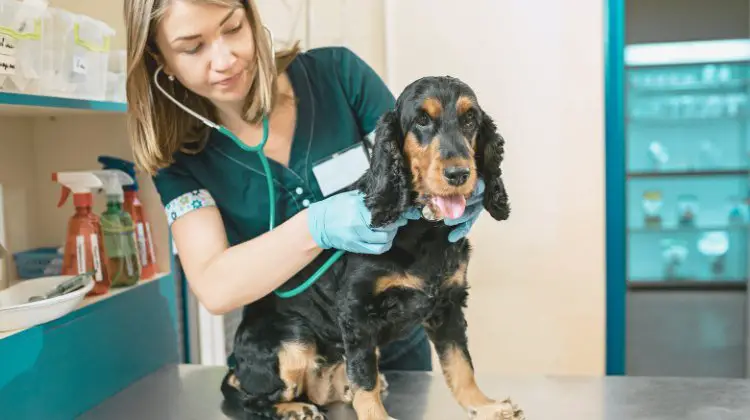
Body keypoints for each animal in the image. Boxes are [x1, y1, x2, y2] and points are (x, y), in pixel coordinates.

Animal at [222, 76, 524, 420]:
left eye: (470, 120)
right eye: (422, 120)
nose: (459, 174)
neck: (424, 229)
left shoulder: (448, 304)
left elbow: (461, 363)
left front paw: (484, 405)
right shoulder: (356, 311)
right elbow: (365, 376)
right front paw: (376, 414)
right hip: (293, 340)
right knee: (249, 398)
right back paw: (294, 408)